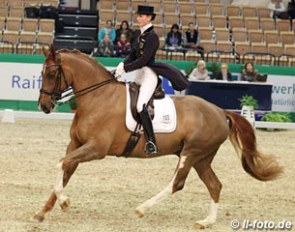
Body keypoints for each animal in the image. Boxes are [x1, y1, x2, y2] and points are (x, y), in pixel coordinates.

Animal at [35, 46, 284, 228]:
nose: (44, 106)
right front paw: (43, 211)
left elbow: (61, 164)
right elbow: (65, 171)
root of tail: (221, 112)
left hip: (191, 153)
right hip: (202, 158)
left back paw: (141, 209)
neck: (98, 96)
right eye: (42, 73)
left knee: (177, 183)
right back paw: (206, 222)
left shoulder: (96, 148)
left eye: (51, 74)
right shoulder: (75, 144)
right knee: (215, 185)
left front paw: (65, 202)